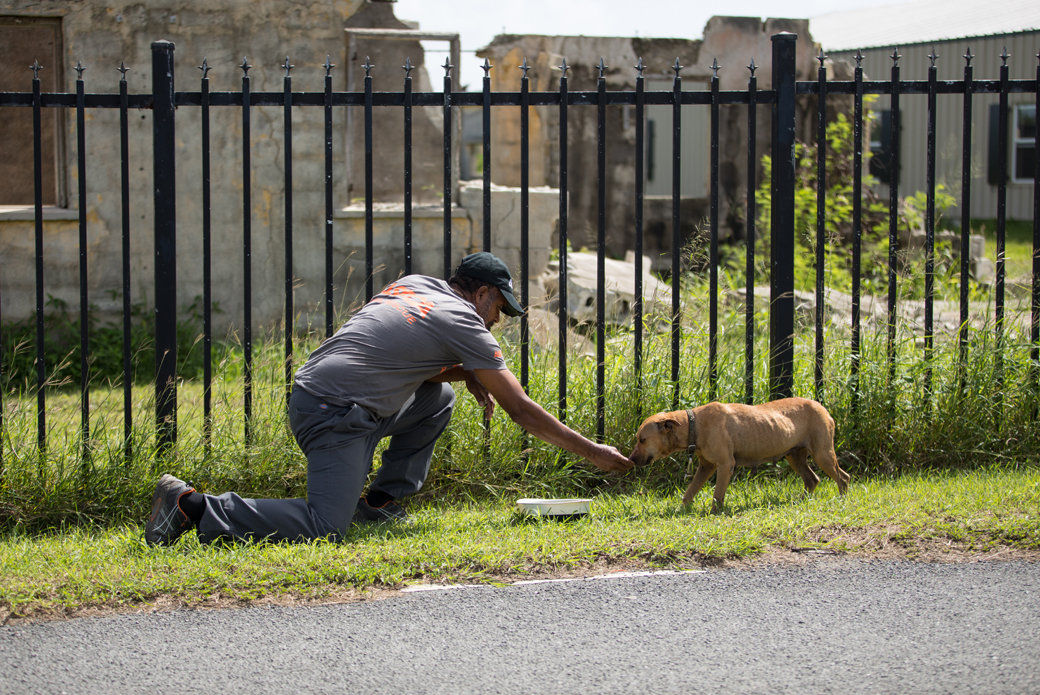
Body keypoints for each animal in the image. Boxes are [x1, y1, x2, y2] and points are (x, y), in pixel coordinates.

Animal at [628, 395, 848, 509]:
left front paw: (714, 512)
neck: (694, 424)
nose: (631, 459)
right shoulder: (705, 467)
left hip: (823, 454)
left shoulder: (725, 466)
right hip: (795, 455)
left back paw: (841, 499)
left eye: (642, 440)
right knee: (812, 479)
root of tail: (824, 409)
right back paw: (799, 502)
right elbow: (690, 490)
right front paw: (683, 509)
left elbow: (717, 494)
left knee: (842, 477)